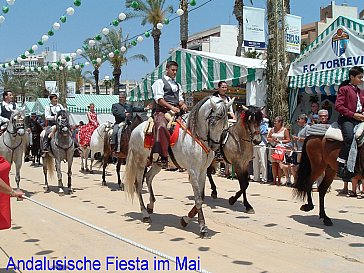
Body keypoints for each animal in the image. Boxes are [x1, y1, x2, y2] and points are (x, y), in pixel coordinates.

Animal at [123, 96, 235, 237]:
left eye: (225, 124)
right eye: (213, 122)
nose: (215, 147)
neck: (195, 135)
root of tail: (135, 130)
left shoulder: (203, 171)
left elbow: (201, 196)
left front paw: (185, 220)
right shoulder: (193, 171)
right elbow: (198, 199)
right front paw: (202, 227)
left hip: (157, 164)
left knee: (148, 178)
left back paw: (150, 206)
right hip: (140, 163)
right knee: (138, 185)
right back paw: (145, 214)